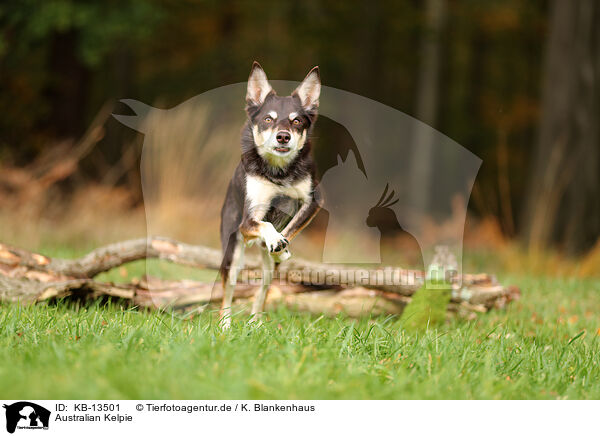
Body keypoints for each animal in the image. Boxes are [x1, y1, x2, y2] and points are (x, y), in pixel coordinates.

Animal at [219, 62, 324, 328]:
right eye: (268, 119)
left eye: (297, 121)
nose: (283, 136)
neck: (279, 171)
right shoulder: (249, 221)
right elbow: (265, 223)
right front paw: (276, 239)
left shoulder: (313, 202)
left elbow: (292, 226)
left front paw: (282, 245)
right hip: (232, 254)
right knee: (227, 291)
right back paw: (224, 325)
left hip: (266, 271)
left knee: (263, 291)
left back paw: (256, 323)